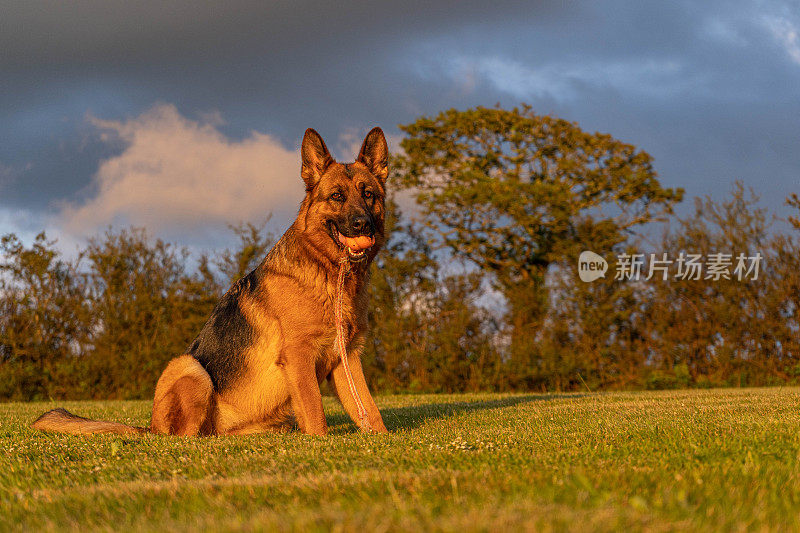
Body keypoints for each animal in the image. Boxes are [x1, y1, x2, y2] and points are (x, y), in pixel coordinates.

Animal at [34, 128, 390, 436]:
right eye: (337, 196)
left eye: (368, 195)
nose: (363, 224)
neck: (333, 275)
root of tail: (150, 428)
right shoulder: (300, 356)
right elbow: (316, 412)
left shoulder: (346, 359)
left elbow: (369, 410)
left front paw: (383, 440)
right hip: (189, 368)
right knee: (184, 436)